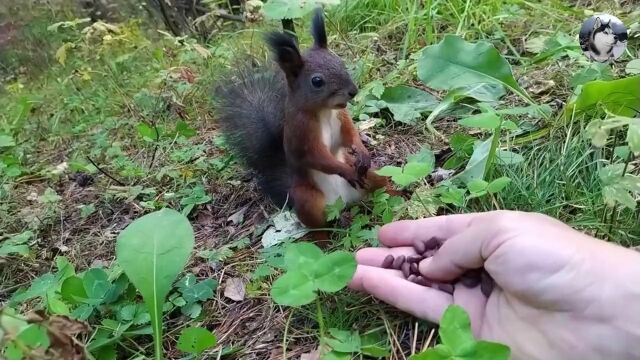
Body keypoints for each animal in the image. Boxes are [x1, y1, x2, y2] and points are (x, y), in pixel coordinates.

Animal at [212, 8, 398, 229]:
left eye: (340, 62)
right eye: (317, 81)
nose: (353, 91)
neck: (324, 111)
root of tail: (344, 202)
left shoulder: (341, 117)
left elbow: (349, 135)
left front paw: (362, 152)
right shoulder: (301, 131)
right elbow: (315, 157)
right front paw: (347, 170)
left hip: (372, 176)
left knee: (380, 185)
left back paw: (399, 193)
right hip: (307, 199)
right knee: (319, 225)